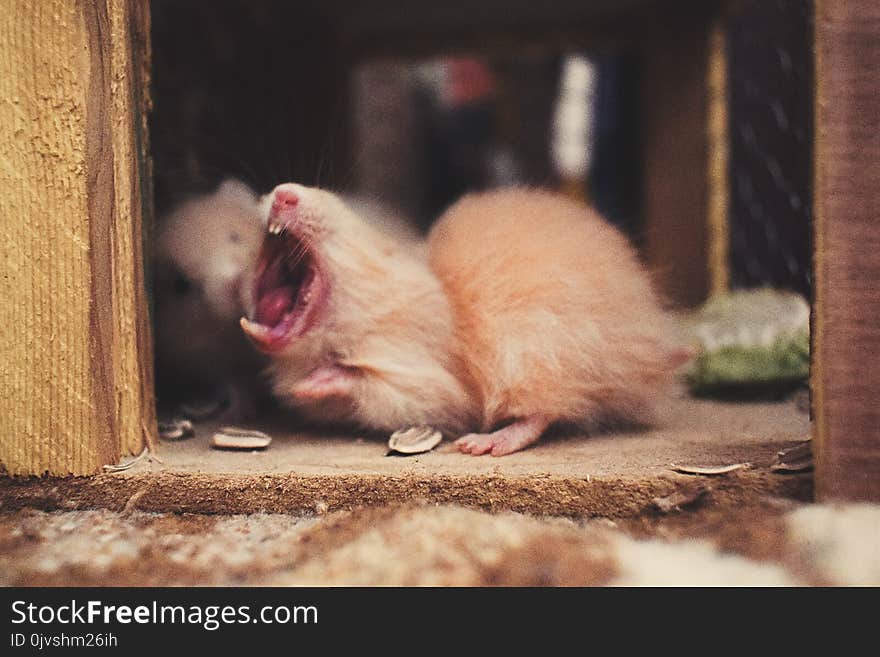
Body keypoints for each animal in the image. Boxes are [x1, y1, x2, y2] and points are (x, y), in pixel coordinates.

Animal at [239, 182, 688, 454]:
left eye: (344, 215)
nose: (282, 193)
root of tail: (654, 345)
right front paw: (296, 389)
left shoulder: (424, 380)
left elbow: (369, 382)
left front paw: (309, 385)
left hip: (541, 349)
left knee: (546, 408)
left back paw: (483, 444)